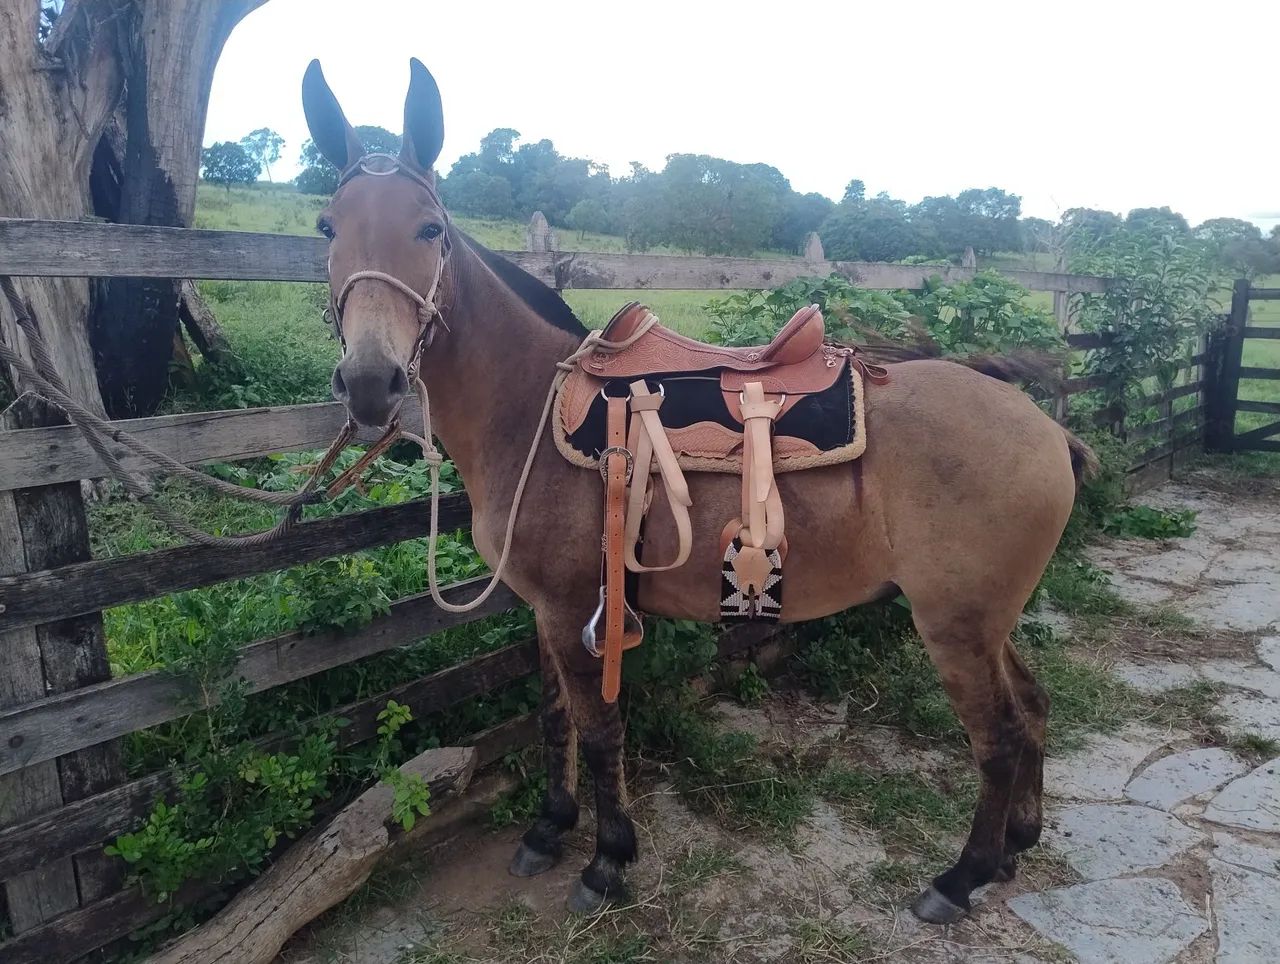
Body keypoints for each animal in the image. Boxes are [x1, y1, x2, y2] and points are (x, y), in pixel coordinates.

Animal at [300, 57, 1095, 923]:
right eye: (329, 229)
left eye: (430, 230)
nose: (369, 382)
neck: (529, 408)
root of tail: (1043, 427)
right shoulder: (545, 609)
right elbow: (553, 718)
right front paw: (549, 830)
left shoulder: (573, 607)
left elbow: (599, 729)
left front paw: (606, 861)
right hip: (985, 622)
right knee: (1035, 706)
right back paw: (1016, 845)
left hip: (954, 626)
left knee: (1000, 737)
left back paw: (960, 878)